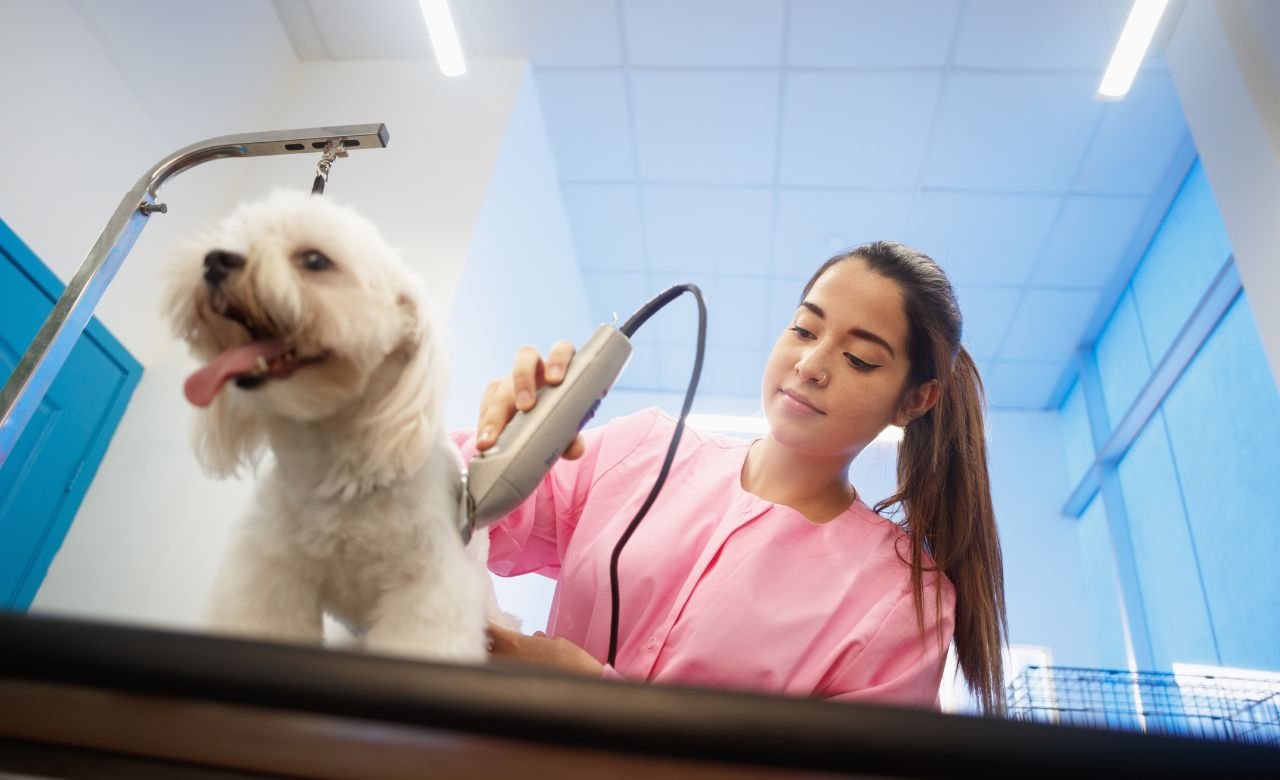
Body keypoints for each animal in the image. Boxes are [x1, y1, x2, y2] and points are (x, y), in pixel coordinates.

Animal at [162, 189, 496, 660]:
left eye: (315, 260)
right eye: (235, 240)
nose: (215, 261)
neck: (338, 467)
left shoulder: (428, 589)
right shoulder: (270, 569)